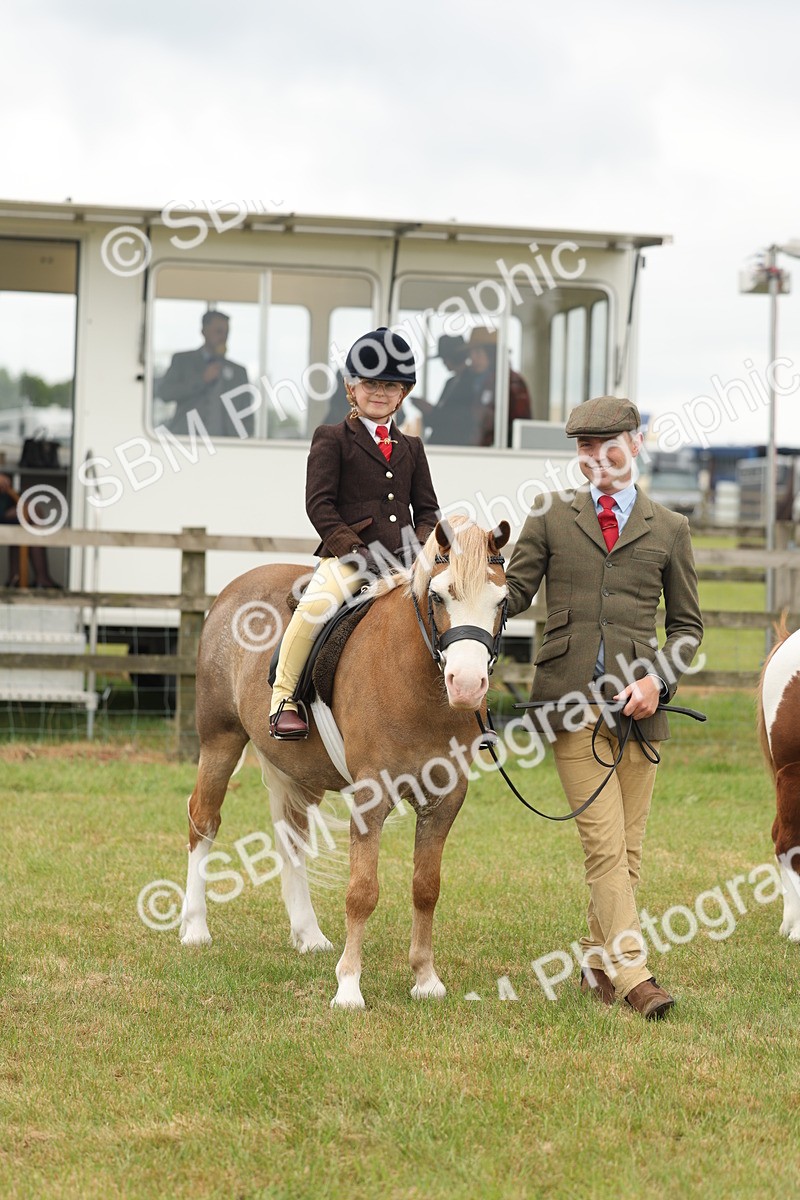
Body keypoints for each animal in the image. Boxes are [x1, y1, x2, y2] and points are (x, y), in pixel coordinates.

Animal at [179, 515, 510, 1008]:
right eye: (439, 595)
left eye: (501, 601)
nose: (467, 685)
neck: (416, 684)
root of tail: (235, 589)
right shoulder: (371, 795)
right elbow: (362, 892)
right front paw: (349, 987)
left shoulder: (445, 798)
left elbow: (426, 888)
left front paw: (425, 978)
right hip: (220, 740)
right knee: (204, 820)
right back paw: (195, 927)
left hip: (296, 770)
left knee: (292, 838)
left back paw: (308, 934)